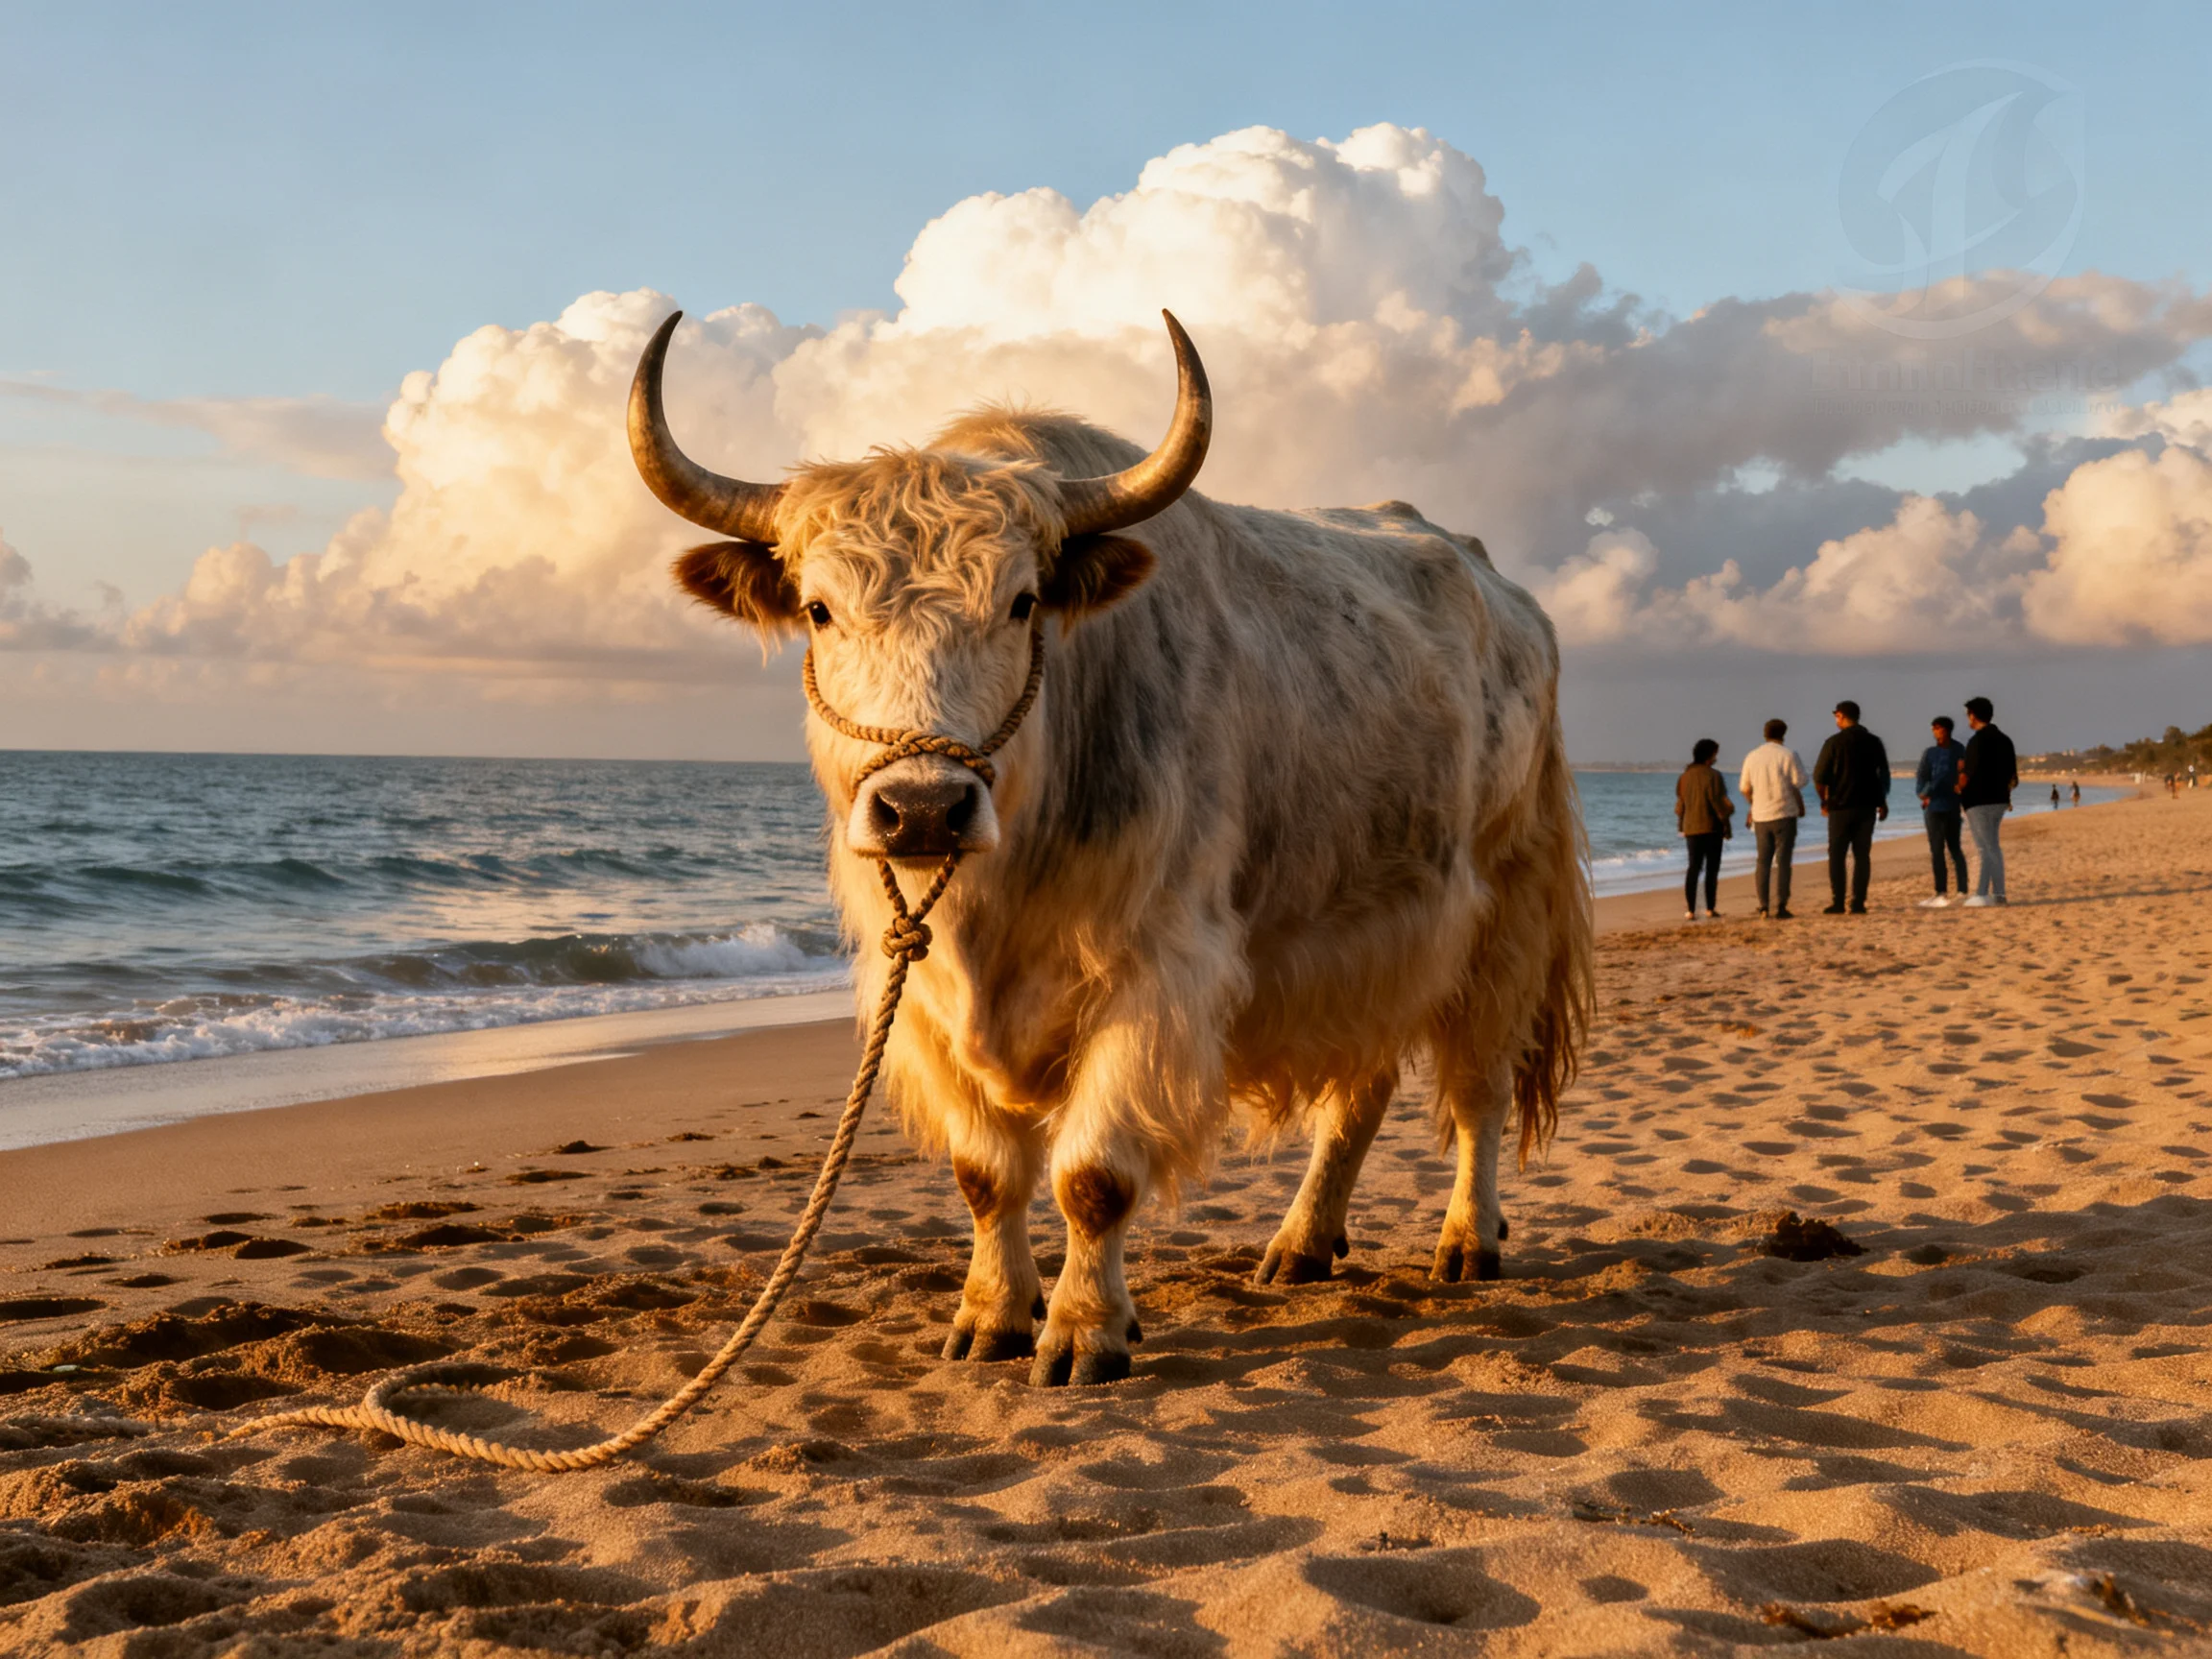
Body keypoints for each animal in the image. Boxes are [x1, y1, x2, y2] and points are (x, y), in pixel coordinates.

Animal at [630, 310, 1592, 1386]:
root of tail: (1501, 588)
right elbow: (983, 1174)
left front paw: (1085, 1333)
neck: (1002, 894)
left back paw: (1467, 1241)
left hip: (1503, 908)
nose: (923, 811)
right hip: (1371, 930)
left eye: (1021, 603)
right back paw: (1301, 1245)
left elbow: (1092, 1176)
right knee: (1360, 1089)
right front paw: (991, 1318)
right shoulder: (920, 991)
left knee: (1477, 1090)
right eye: (819, 609)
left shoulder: (1157, 976)